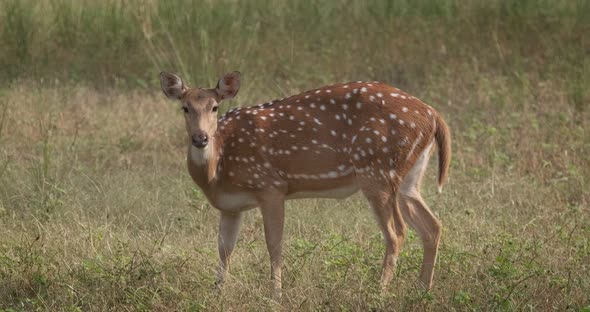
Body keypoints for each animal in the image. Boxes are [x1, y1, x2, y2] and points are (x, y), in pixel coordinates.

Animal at [160, 71, 450, 300]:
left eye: (215, 107)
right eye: (185, 107)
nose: (200, 138)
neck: (218, 169)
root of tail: (434, 115)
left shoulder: (271, 186)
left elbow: (274, 244)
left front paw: (275, 296)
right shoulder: (230, 206)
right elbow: (224, 248)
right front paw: (217, 293)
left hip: (376, 170)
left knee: (397, 232)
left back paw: (379, 292)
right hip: (408, 179)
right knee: (432, 225)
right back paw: (422, 290)